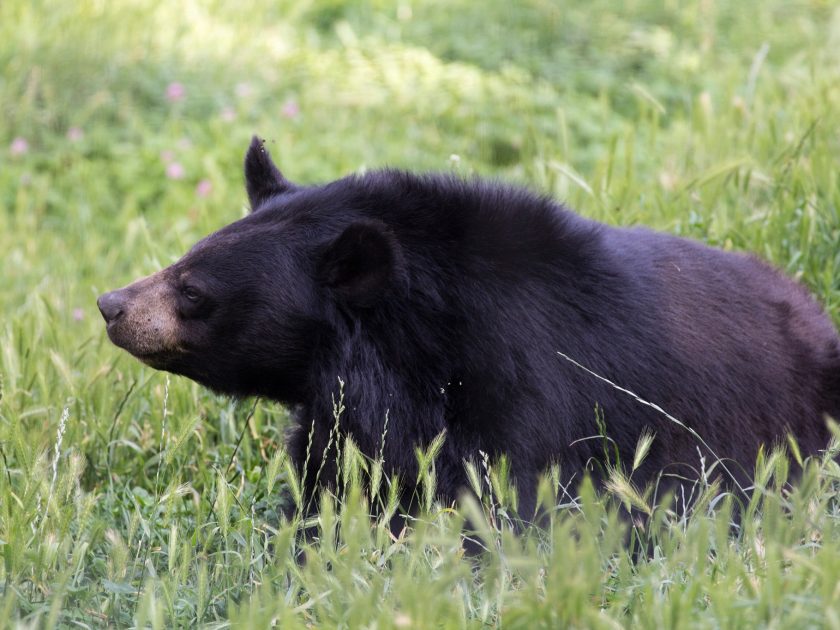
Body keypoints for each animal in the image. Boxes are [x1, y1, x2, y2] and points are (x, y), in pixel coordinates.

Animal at [100, 137, 840, 524]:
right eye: (184, 258)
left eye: (193, 290)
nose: (111, 305)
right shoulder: (342, 413)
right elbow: (334, 481)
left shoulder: (528, 394)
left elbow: (506, 503)